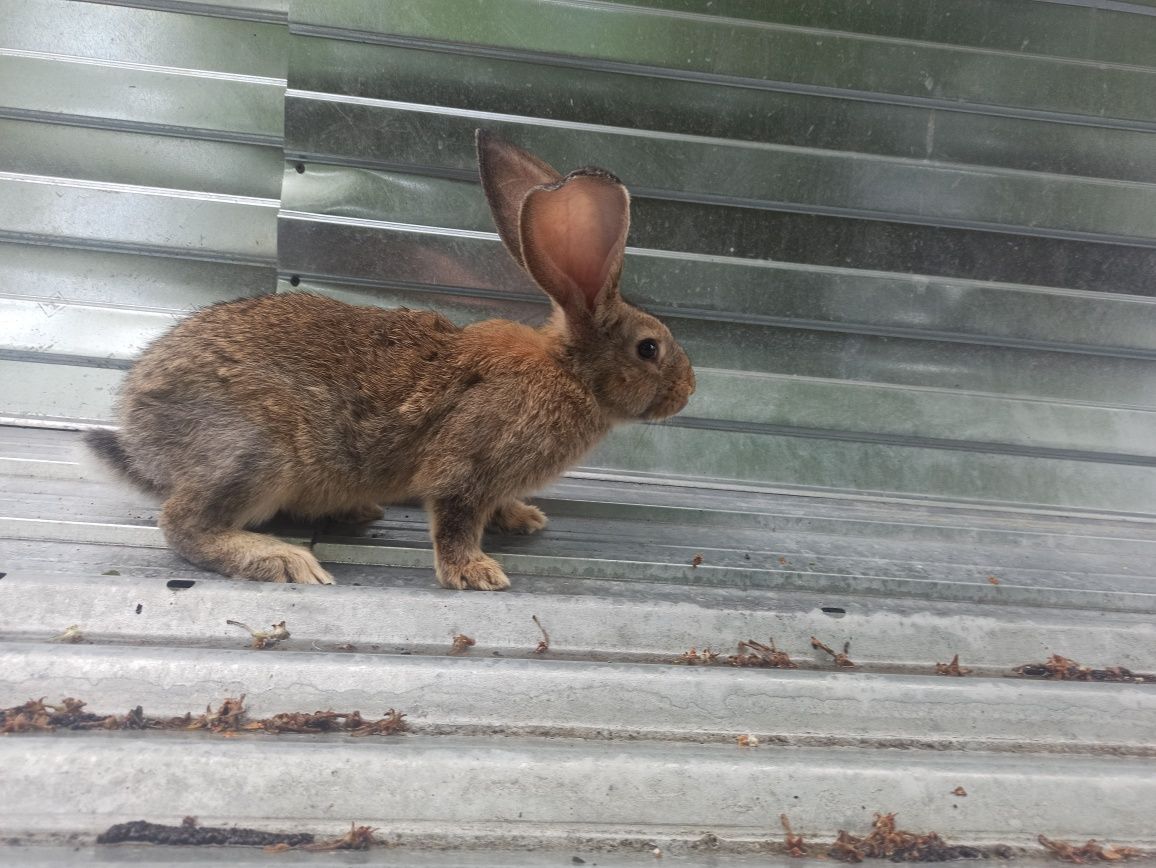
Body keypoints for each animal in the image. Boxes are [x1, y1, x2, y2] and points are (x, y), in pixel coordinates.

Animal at [87, 128, 693, 591]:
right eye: (649, 348)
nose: (689, 391)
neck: (569, 372)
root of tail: (139, 432)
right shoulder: (469, 460)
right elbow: (454, 516)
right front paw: (474, 573)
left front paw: (522, 518)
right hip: (255, 452)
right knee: (182, 524)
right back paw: (283, 558)